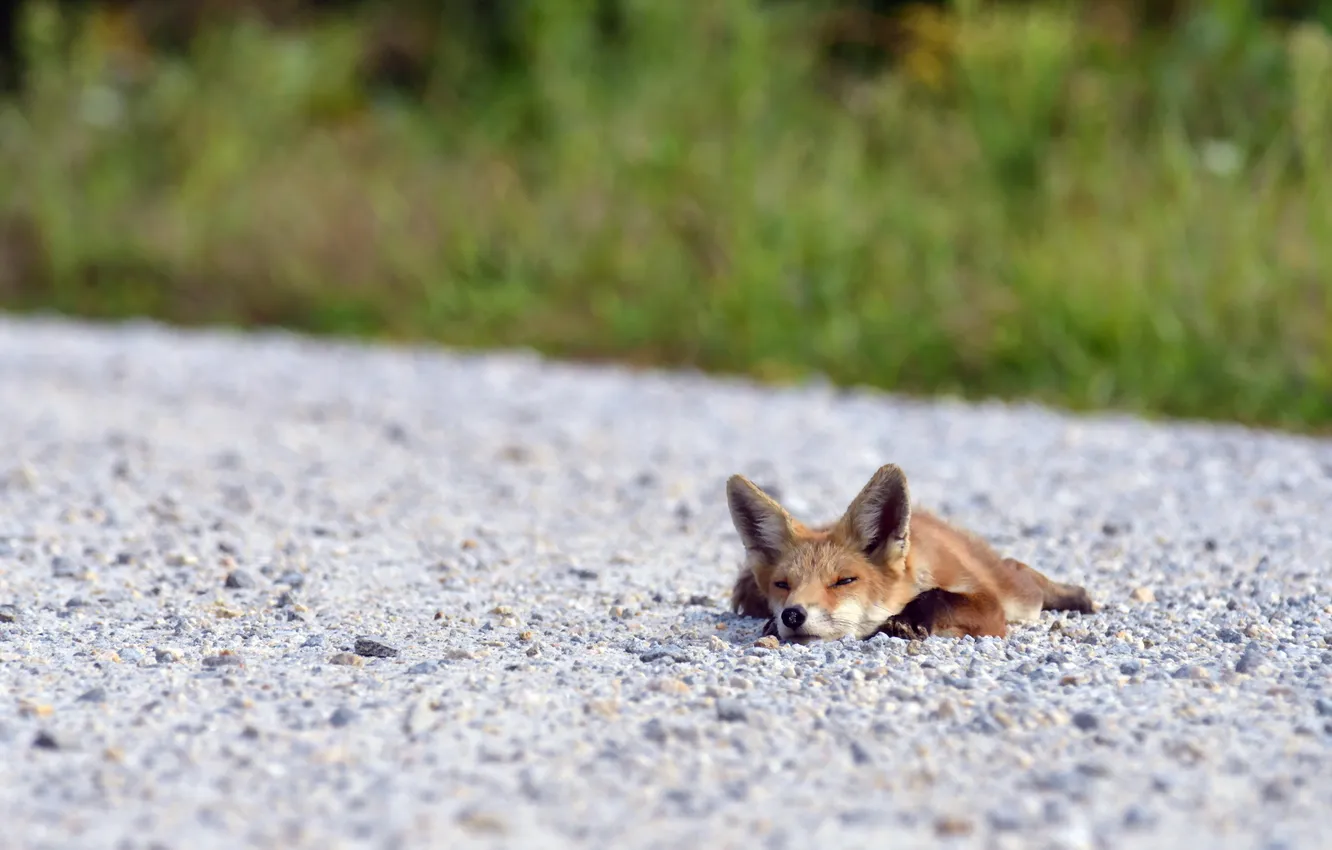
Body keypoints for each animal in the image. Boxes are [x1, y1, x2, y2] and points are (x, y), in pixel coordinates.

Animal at [725, 464, 1094, 643]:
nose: (792, 615)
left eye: (844, 581)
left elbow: (939, 596)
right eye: (782, 585)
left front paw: (909, 619)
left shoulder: (990, 609)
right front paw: (773, 624)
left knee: (1022, 571)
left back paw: (1078, 597)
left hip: (1019, 598)